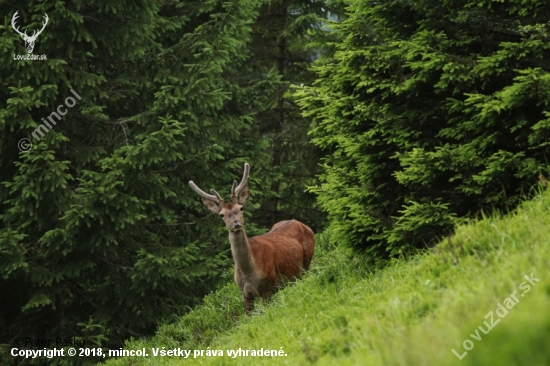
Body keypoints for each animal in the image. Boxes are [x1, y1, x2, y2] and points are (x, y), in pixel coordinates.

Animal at [191, 164, 314, 314]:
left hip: (307, 263)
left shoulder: (268, 288)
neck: (249, 274)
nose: (236, 223)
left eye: (241, 208)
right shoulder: (245, 294)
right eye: (221, 214)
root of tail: (303, 224)